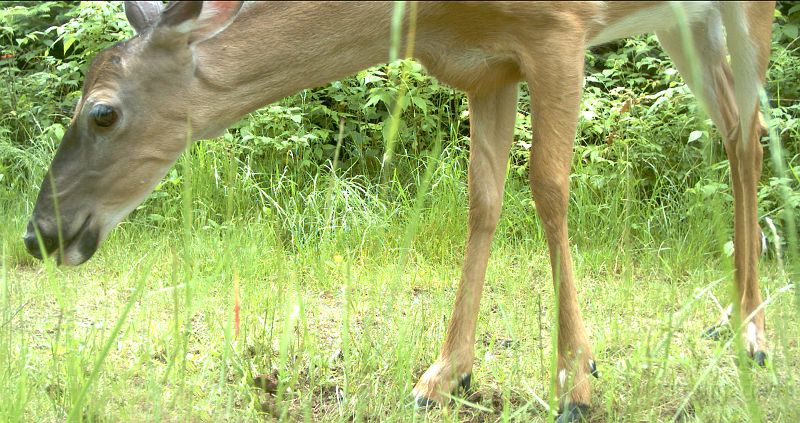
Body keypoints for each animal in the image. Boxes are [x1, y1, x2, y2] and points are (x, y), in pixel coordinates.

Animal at [23, 1, 776, 422]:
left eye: (102, 111)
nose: (39, 233)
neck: (431, 16)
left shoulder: (559, 30)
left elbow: (549, 189)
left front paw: (577, 383)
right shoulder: (490, 65)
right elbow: (484, 200)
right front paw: (444, 376)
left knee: (750, 130)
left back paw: (753, 333)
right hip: (684, 21)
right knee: (731, 123)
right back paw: (730, 319)